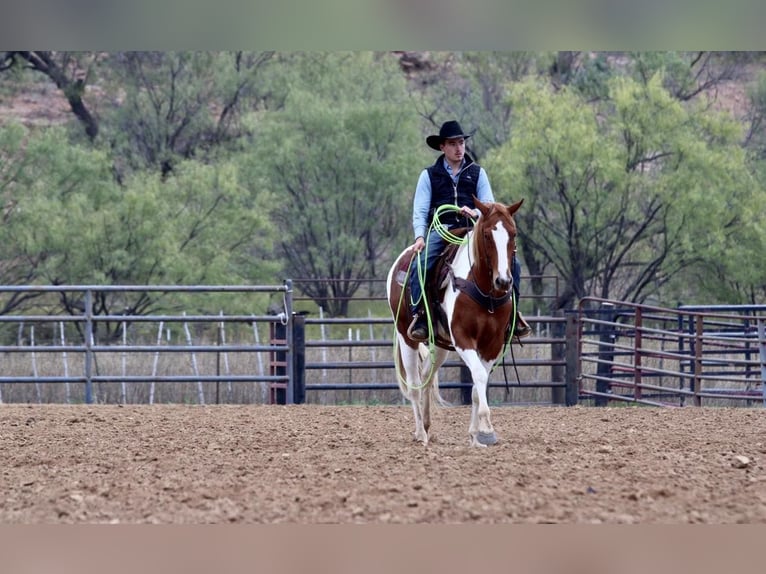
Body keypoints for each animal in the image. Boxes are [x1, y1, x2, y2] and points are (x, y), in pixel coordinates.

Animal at [388, 198, 524, 450]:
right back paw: (420, 433)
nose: (503, 281)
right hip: (405, 336)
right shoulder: (463, 339)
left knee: (426, 375)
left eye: (513, 233)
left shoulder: (492, 344)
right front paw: (487, 430)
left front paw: (475, 436)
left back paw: (428, 426)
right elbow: (478, 376)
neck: (484, 291)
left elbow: (477, 386)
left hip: (439, 343)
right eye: (487, 235)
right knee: (413, 384)